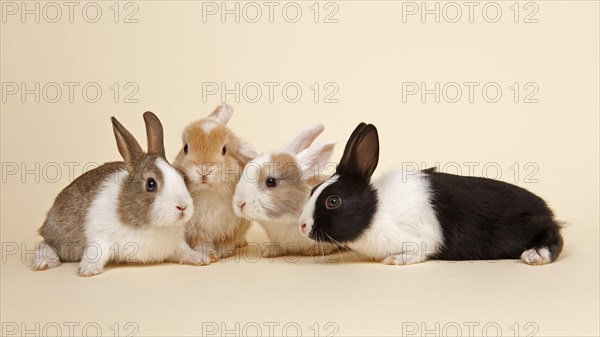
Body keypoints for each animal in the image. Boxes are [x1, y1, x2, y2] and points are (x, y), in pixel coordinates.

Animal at [32, 111, 212, 276]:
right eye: (151, 184)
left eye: (181, 177)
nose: (182, 207)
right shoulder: (99, 236)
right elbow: (96, 252)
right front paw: (88, 270)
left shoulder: (176, 244)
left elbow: (183, 251)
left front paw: (200, 258)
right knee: (45, 244)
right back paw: (45, 262)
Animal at [173, 103, 258, 258]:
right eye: (185, 148)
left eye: (224, 150)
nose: (204, 170)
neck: (209, 193)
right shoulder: (196, 228)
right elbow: (201, 242)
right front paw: (208, 253)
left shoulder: (234, 227)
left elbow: (226, 242)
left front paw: (220, 253)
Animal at [298, 122, 564, 266]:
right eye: (312, 191)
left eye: (333, 201)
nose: (302, 225)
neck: (377, 210)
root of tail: (546, 211)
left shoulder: (421, 239)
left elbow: (417, 252)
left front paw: (396, 260)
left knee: (554, 237)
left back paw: (535, 255)